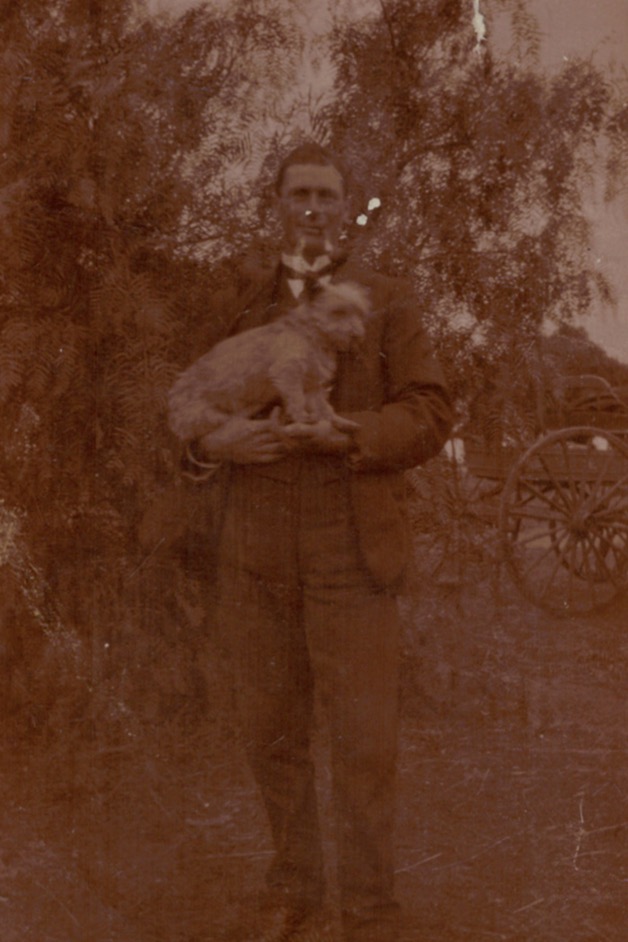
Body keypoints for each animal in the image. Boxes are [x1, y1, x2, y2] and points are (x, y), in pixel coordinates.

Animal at [167, 281, 371, 442]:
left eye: (359, 313)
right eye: (338, 312)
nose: (357, 334)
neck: (310, 334)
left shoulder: (313, 386)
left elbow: (325, 409)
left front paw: (340, 422)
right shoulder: (288, 372)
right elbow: (297, 400)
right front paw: (301, 417)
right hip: (210, 416)